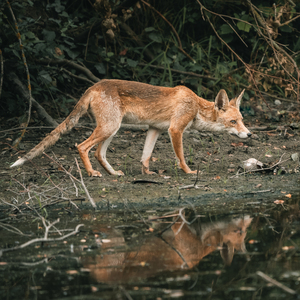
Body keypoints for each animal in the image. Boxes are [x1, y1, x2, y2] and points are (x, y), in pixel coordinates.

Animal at [9, 79, 251, 176]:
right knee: (82, 146)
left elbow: (145, 156)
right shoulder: (175, 130)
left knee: (98, 153)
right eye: (233, 122)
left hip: (112, 129)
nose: (249, 134)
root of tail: (94, 85)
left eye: (241, 119)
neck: (195, 106)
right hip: (109, 127)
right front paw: (189, 172)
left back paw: (113, 173)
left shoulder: (155, 129)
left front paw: (147, 173)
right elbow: (181, 156)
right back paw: (91, 173)